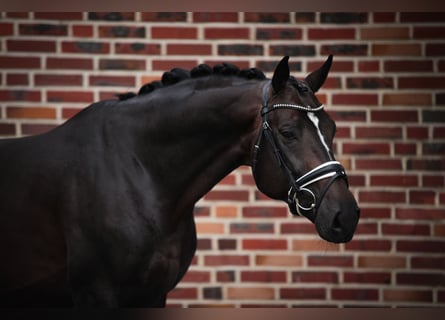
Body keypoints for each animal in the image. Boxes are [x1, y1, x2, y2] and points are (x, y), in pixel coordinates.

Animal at [0, 55, 358, 308]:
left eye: (332, 128)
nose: (347, 215)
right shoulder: (95, 294)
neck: (141, 173)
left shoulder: (153, 295)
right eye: (287, 132)